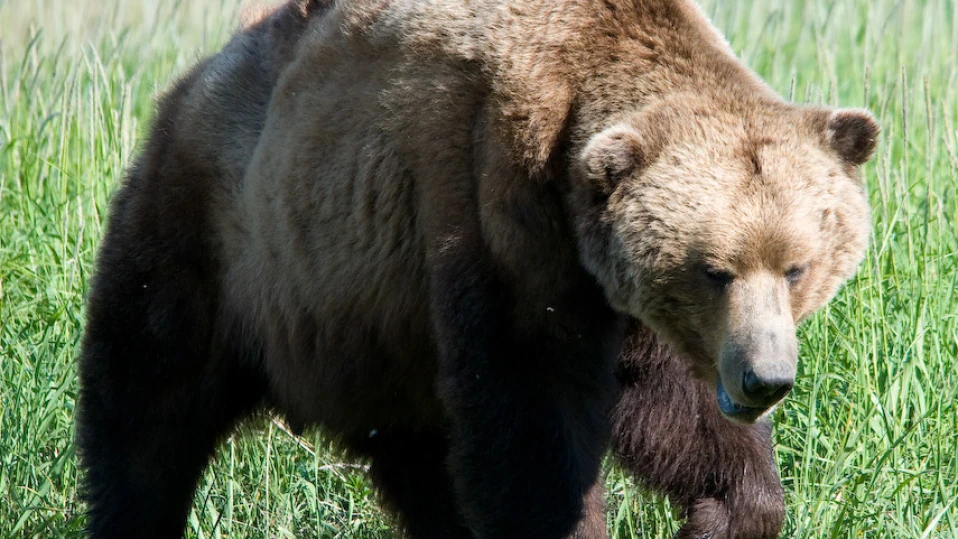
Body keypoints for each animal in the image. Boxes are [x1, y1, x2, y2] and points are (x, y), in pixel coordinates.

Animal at [79, 1, 880, 539]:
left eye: (797, 266)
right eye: (714, 270)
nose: (763, 379)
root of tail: (197, 76)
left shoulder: (623, 305)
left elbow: (678, 415)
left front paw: (724, 510)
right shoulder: (497, 220)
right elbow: (531, 423)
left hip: (379, 338)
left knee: (419, 461)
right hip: (219, 241)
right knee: (147, 409)